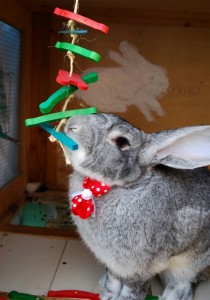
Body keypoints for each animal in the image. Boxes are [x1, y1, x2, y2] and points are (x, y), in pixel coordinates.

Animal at [63, 113, 210, 300]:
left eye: (121, 141)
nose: (72, 124)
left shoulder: (140, 267)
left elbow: (132, 288)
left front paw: (124, 299)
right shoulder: (113, 263)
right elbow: (113, 280)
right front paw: (107, 296)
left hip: (188, 264)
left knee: (184, 282)